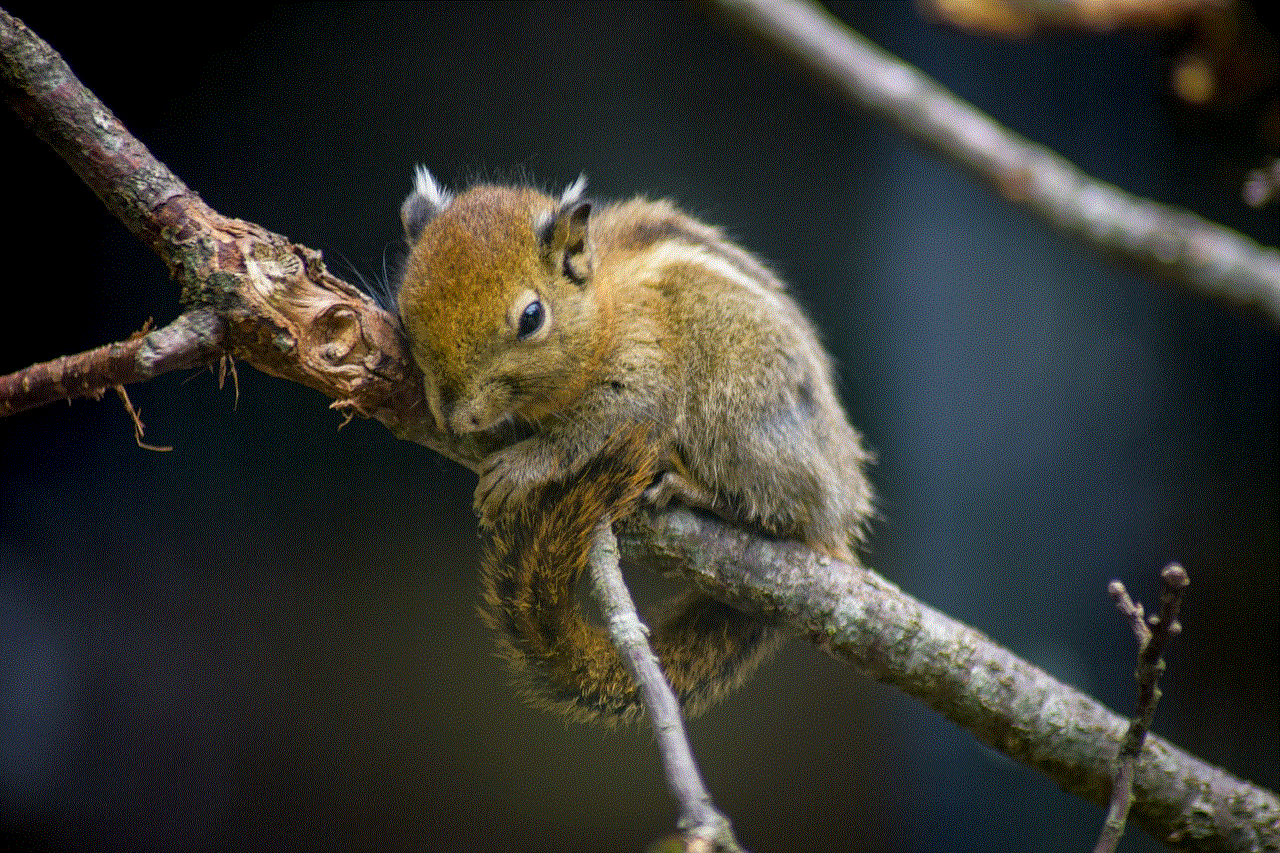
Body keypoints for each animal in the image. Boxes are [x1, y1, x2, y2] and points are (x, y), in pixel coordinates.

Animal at [391, 167, 870, 722]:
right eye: (406, 306)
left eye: (531, 317)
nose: (453, 415)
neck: (603, 310)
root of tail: (840, 518)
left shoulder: (642, 372)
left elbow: (590, 428)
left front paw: (523, 466)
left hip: (741, 415)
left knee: (784, 512)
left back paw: (691, 489)